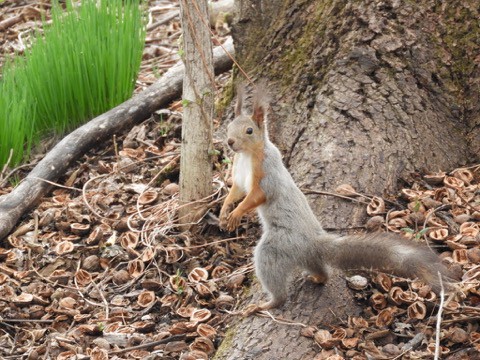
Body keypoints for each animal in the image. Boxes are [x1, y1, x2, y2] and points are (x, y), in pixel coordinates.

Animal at [219, 83, 452, 310]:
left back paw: (268, 303)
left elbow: (256, 196)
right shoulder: (238, 175)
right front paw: (224, 210)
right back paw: (317, 278)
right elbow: (236, 191)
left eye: (249, 130)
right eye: (229, 126)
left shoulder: (267, 172)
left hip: (280, 245)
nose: (229, 142)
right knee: (321, 272)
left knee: (277, 285)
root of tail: (313, 242)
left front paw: (237, 213)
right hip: (305, 256)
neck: (247, 156)